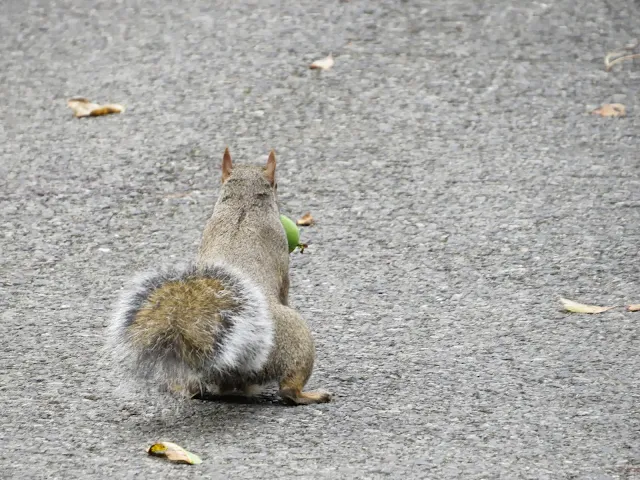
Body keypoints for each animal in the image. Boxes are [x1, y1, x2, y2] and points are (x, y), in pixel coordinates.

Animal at [106, 147, 330, 404]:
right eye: (276, 184)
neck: (243, 205)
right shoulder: (281, 252)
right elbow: (285, 288)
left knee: (194, 389)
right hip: (299, 339)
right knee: (289, 389)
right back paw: (311, 395)